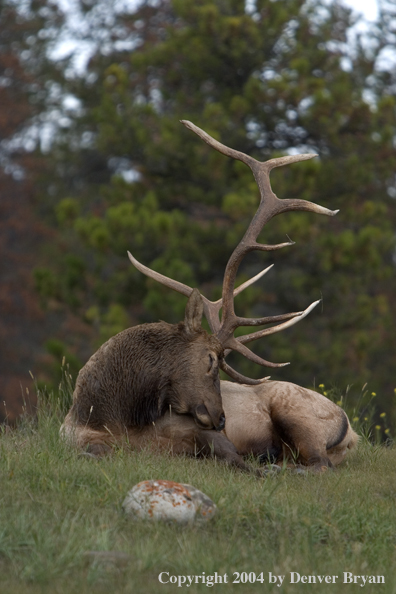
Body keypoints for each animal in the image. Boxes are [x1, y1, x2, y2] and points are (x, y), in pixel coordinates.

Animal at [62, 120, 358, 472]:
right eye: (210, 359)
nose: (221, 418)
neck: (116, 417)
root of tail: (352, 431)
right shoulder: (74, 439)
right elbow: (92, 451)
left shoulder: (203, 433)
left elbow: (233, 459)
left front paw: (255, 467)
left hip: (299, 414)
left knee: (319, 463)